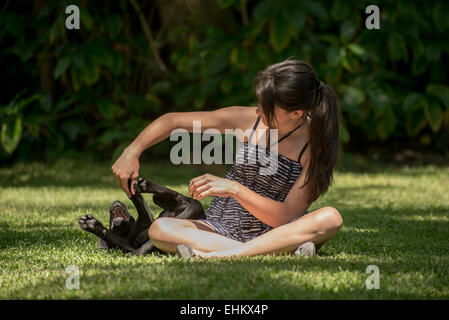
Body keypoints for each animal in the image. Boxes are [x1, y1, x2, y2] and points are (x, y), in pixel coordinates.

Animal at [78, 178, 206, 255]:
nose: (115, 202)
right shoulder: (129, 247)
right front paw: (92, 225)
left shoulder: (147, 220)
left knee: (173, 197)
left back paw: (146, 185)